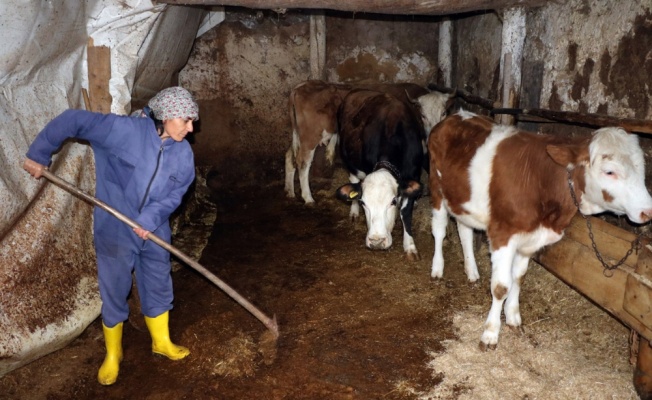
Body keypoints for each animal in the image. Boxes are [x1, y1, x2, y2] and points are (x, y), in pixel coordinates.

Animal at [286, 81, 454, 205]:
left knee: (290, 156)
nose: (434, 134)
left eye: (444, 113)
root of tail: (301, 86)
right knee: (303, 163)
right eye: (423, 115)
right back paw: (308, 197)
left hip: (299, 135)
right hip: (310, 137)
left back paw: (290, 191)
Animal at [428, 108, 652, 350]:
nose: (647, 210)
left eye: (642, 170)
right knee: (439, 229)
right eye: (609, 171)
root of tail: (458, 114)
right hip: (436, 188)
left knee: (464, 231)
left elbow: (518, 278)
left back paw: (471, 271)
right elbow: (501, 286)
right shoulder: (502, 234)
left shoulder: (530, 240)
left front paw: (513, 316)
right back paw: (437, 269)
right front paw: (490, 333)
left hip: (462, 199)